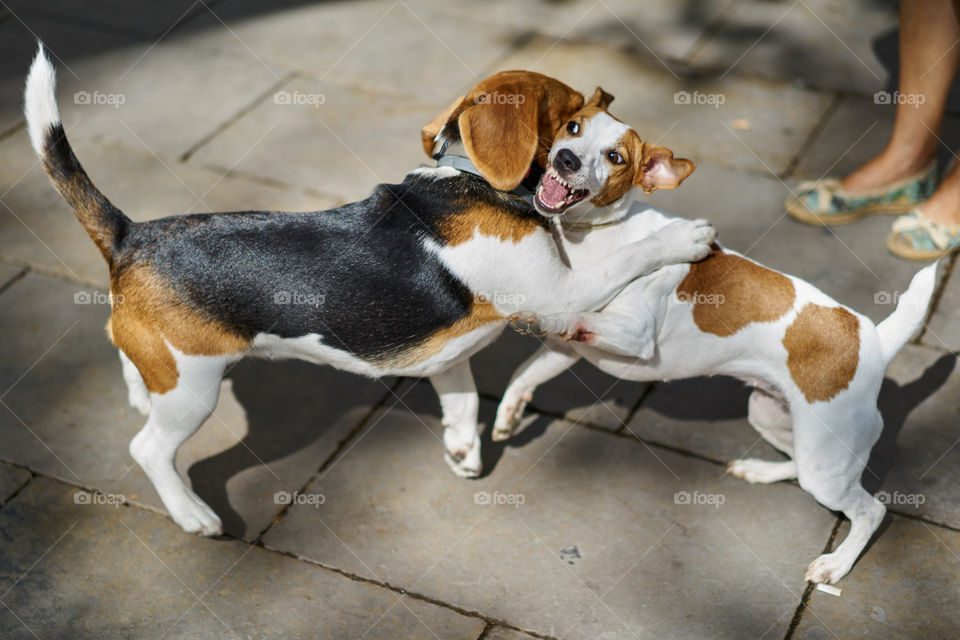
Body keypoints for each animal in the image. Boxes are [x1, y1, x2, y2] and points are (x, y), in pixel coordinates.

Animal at [496, 96, 936, 584]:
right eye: (573, 127)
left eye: (615, 157)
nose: (566, 160)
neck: (598, 235)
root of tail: (874, 340)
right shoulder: (569, 350)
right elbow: (524, 373)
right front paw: (508, 415)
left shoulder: (635, 334)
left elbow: (570, 315)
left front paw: (542, 314)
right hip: (774, 419)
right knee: (799, 466)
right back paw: (761, 471)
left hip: (827, 460)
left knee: (871, 511)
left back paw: (836, 565)